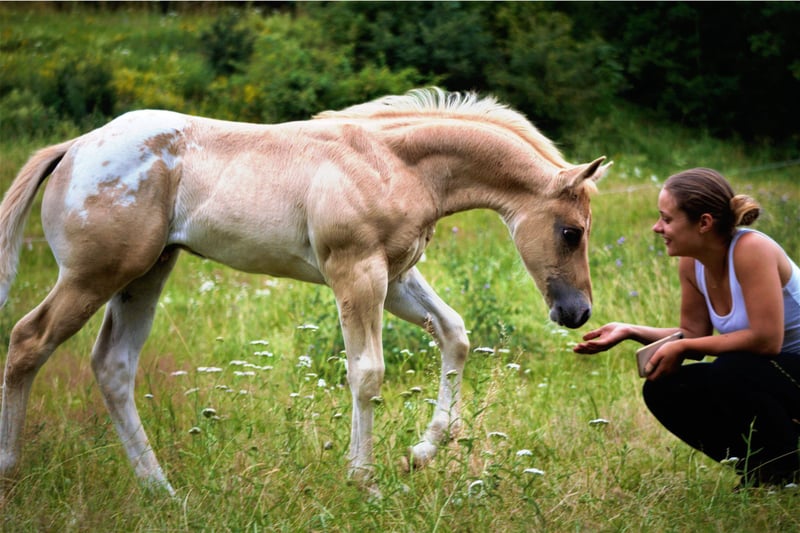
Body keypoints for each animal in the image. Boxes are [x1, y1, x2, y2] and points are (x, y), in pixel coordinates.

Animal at [0, 88, 610, 498]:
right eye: (571, 232)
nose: (577, 312)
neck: (393, 163)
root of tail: (75, 146)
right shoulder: (357, 274)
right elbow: (368, 374)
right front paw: (364, 481)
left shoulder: (395, 276)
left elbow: (454, 334)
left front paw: (419, 453)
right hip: (95, 274)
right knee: (29, 340)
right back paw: (11, 471)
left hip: (146, 274)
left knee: (114, 366)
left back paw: (161, 490)